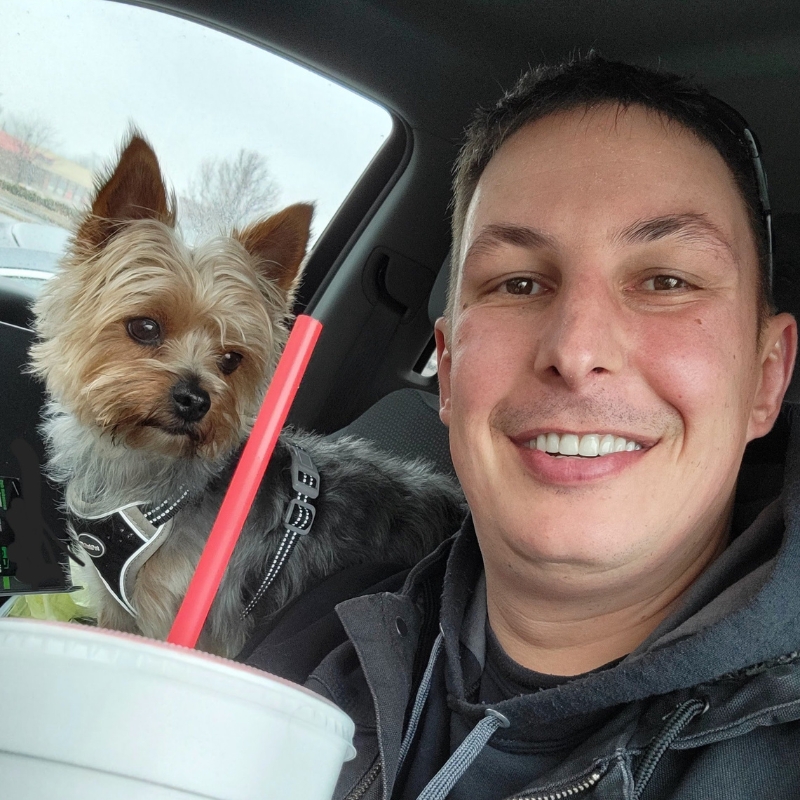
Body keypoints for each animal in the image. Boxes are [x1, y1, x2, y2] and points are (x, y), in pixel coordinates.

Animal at [31, 133, 466, 656]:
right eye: (144, 327)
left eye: (231, 359)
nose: (196, 399)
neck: (143, 469)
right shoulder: (119, 609)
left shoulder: (192, 621)